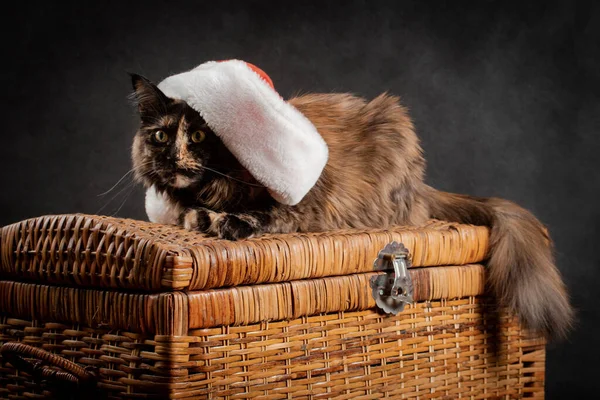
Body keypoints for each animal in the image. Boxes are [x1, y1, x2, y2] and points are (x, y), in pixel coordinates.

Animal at [130, 73, 572, 340]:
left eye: (199, 136)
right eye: (160, 136)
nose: (170, 159)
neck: (212, 187)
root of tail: (420, 186)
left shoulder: (300, 206)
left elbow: (258, 215)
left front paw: (221, 221)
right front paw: (197, 216)